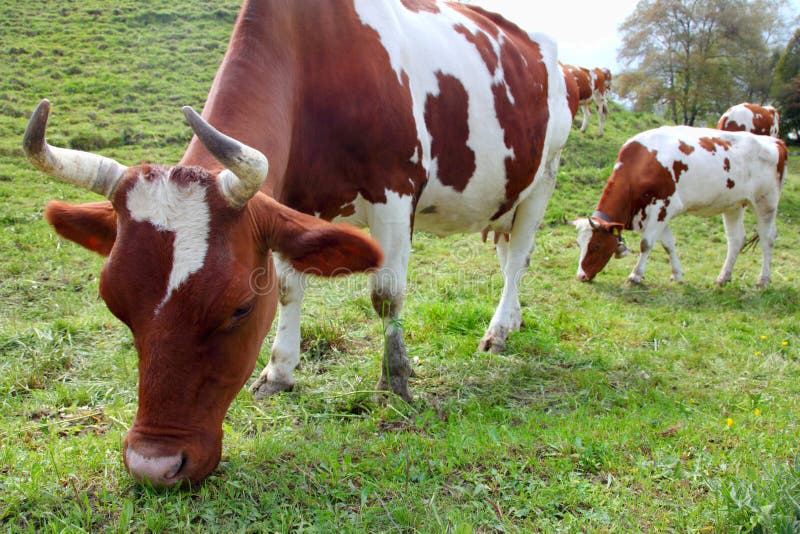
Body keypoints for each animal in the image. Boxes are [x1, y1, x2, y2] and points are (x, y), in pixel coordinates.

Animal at [576, 126, 788, 288]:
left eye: (595, 245)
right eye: (579, 244)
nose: (581, 276)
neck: (640, 164)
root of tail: (775, 142)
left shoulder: (662, 206)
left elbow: (646, 244)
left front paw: (635, 275)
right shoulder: (661, 213)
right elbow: (668, 244)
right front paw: (677, 274)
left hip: (766, 202)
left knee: (767, 238)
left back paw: (763, 280)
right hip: (734, 205)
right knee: (736, 240)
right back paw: (723, 278)